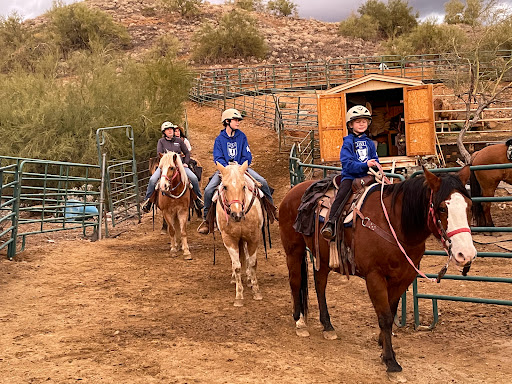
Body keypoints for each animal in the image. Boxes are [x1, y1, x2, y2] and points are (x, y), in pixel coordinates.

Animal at [216, 160, 264, 308]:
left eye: (243, 186)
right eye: (225, 187)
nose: (236, 214)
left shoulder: (253, 238)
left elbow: (253, 263)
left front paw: (256, 292)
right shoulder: (229, 240)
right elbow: (237, 266)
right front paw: (239, 297)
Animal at [280, 167, 476, 372]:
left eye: (469, 206)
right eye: (442, 208)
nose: (466, 254)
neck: (394, 225)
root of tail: (292, 192)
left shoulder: (403, 278)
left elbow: (391, 311)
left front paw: (383, 344)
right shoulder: (375, 277)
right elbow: (385, 317)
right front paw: (391, 362)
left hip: (324, 258)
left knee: (320, 285)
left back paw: (327, 326)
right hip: (294, 249)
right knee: (295, 282)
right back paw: (300, 322)